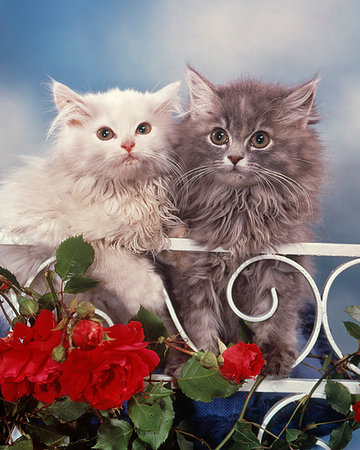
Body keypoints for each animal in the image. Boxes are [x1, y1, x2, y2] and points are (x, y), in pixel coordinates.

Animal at [0, 79, 180, 322]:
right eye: (105, 134)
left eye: (143, 129)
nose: (128, 144)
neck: (124, 193)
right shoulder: (62, 232)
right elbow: (115, 260)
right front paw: (149, 294)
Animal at [167, 67, 324, 376]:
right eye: (219, 136)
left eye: (260, 139)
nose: (235, 156)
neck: (241, 208)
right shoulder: (193, 274)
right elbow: (198, 325)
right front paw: (202, 363)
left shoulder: (280, 270)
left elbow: (276, 320)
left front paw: (274, 355)